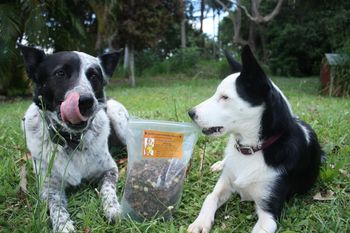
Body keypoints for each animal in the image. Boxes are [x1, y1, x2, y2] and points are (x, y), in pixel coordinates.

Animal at [18, 44, 129, 233]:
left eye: (94, 76)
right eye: (60, 73)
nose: (86, 101)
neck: (71, 140)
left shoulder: (109, 170)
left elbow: (108, 190)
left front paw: (112, 208)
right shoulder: (49, 187)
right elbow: (57, 207)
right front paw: (64, 225)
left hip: (118, 117)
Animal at [189, 46, 322, 233]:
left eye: (225, 97)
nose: (190, 113)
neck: (252, 148)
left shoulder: (269, 214)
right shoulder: (225, 183)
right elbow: (210, 197)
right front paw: (200, 222)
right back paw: (220, 164)